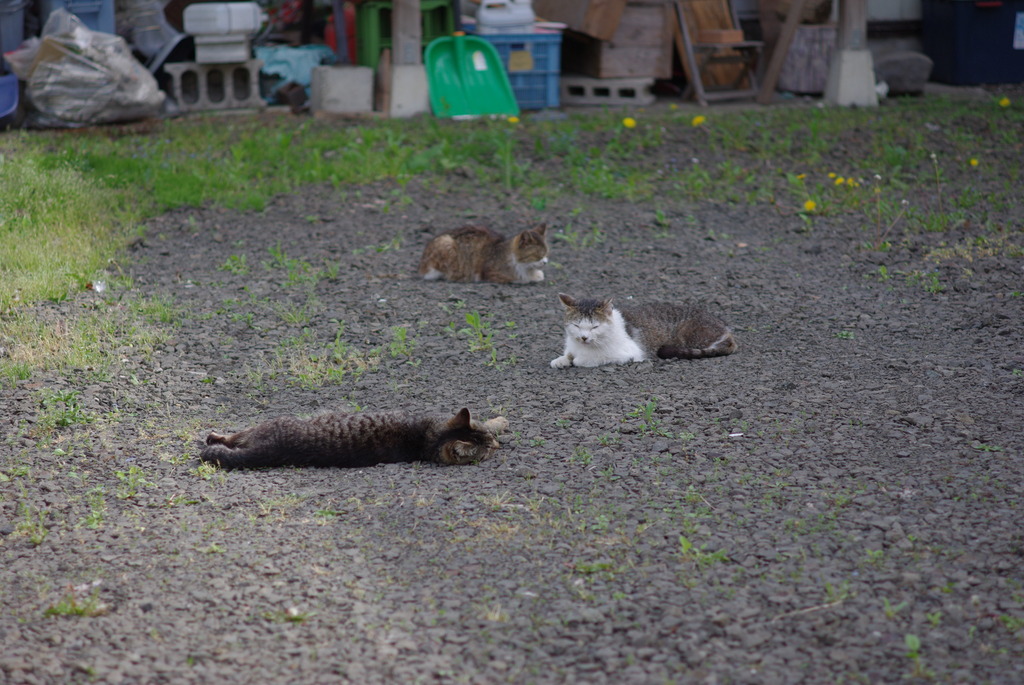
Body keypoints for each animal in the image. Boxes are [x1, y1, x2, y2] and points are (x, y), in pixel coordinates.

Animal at [552, 292, 737, 368]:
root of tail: (725, 329)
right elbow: (568, 354)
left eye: (594, 327)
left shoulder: (629, 353)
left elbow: (587, 359)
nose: (583, 337)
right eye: (576, 325)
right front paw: (561, 360)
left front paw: (578, 360)